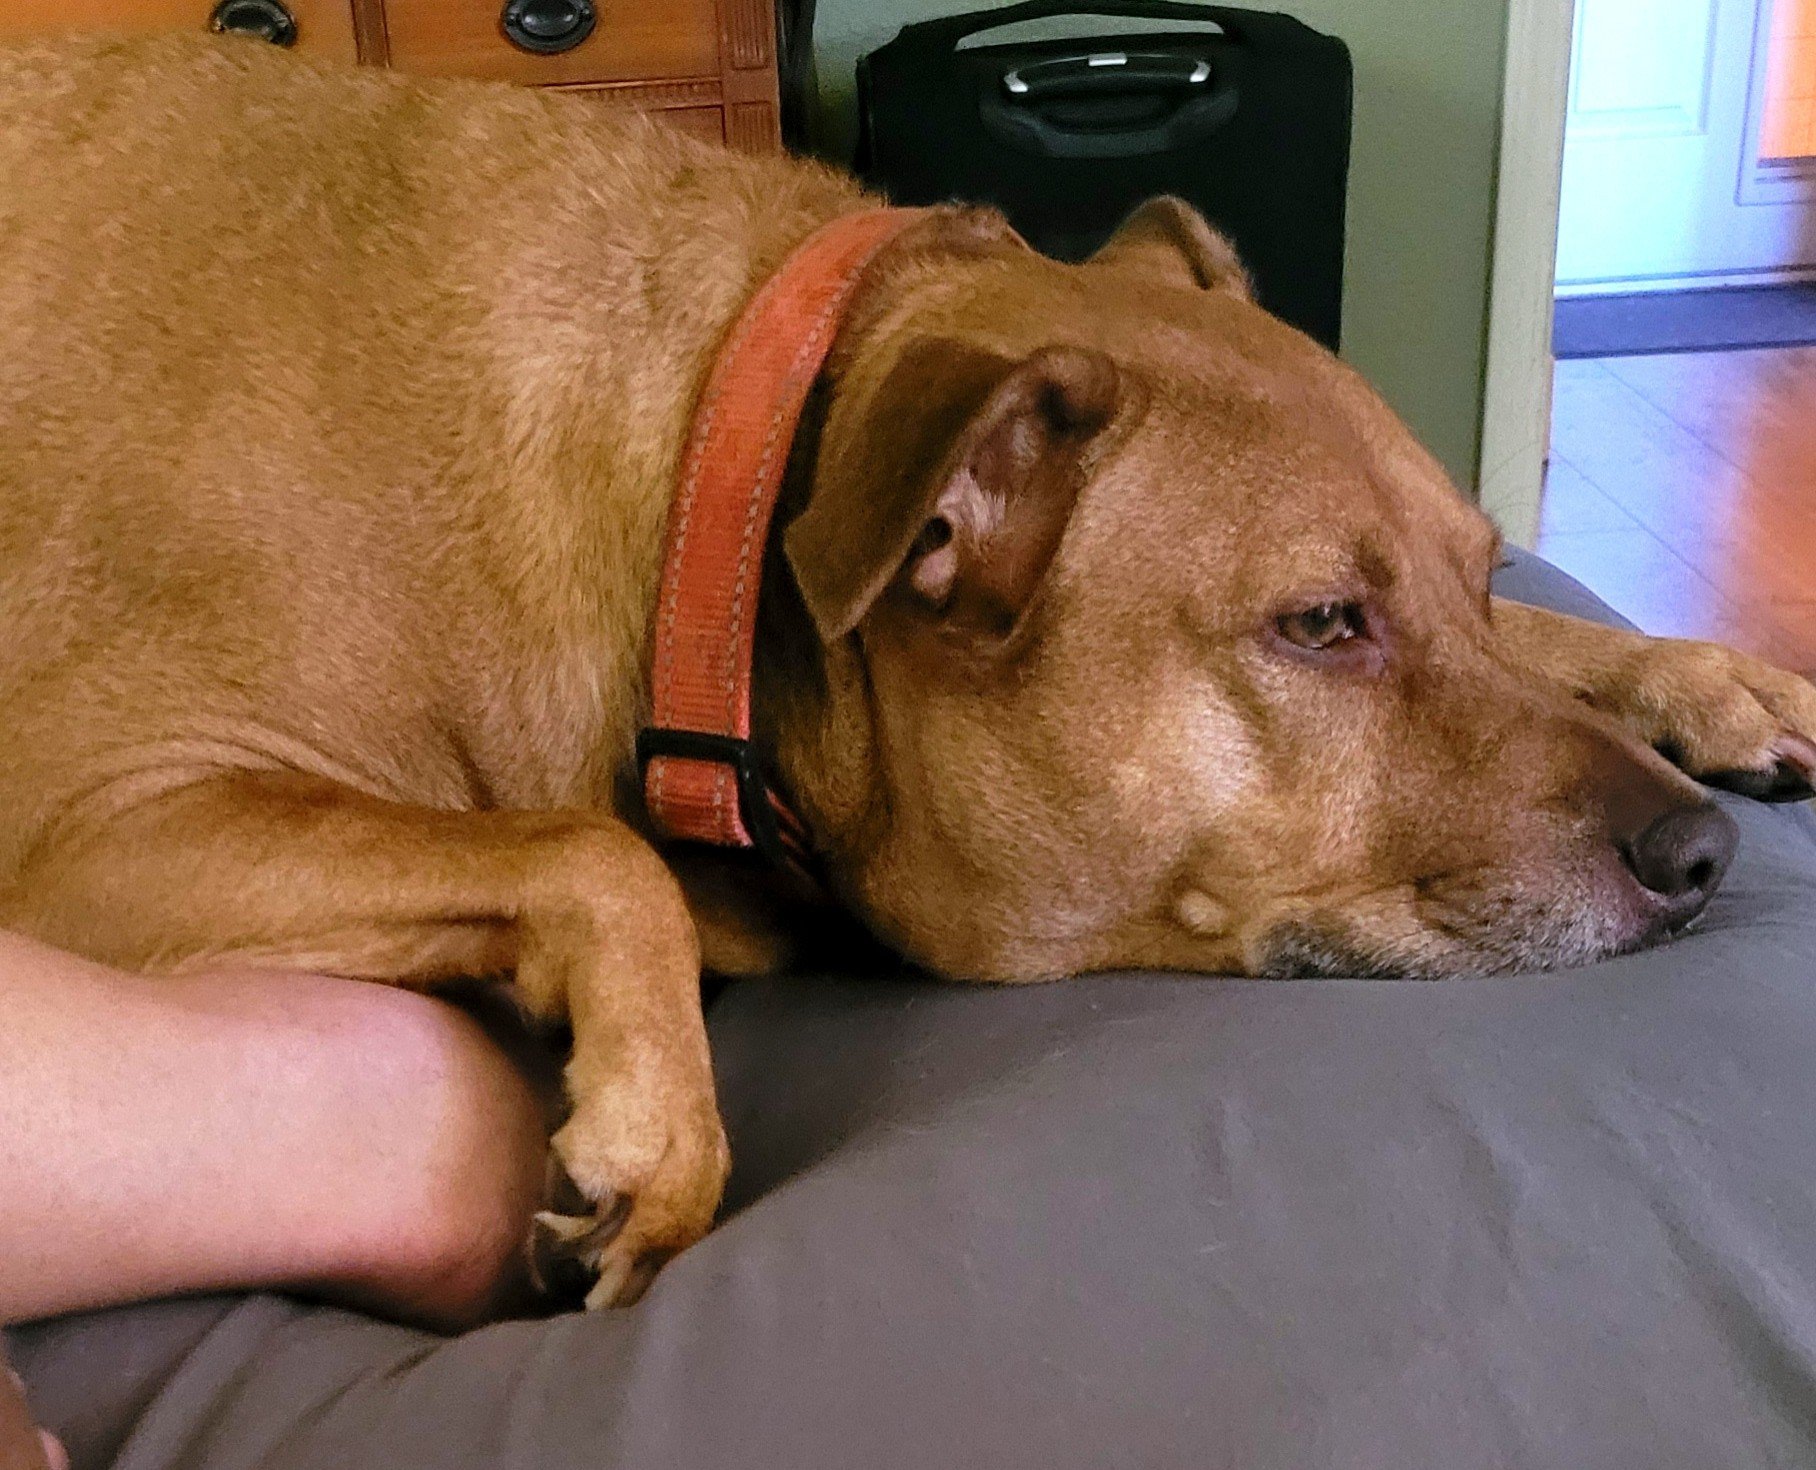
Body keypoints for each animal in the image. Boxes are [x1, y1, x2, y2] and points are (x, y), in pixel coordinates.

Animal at [3, 34, 1816, 1301]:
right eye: (1319, 626)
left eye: (1485, 564)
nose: (1705, 856)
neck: (714, 488)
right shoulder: (101, 830)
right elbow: (587, 852)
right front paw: (658, 1130)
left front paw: (1713, 676)